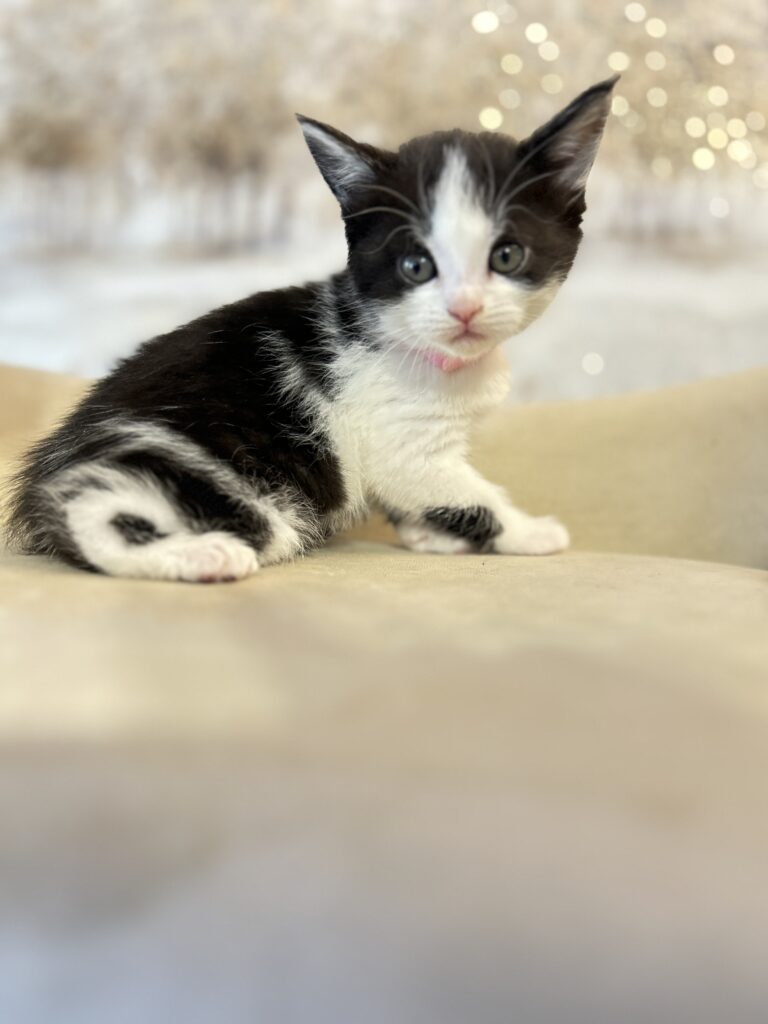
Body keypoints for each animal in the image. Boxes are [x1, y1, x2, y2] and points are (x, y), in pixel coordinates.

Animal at [6, 75, 618, 581]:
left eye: (508, 256)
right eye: (416, 266)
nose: (464, 308)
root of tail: (49, 467)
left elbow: (416, 496)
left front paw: (429, 537)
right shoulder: (400, 439)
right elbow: (464, 493)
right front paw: (529, 531)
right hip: (227, 479)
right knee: (93, 506)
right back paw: (203, 555)